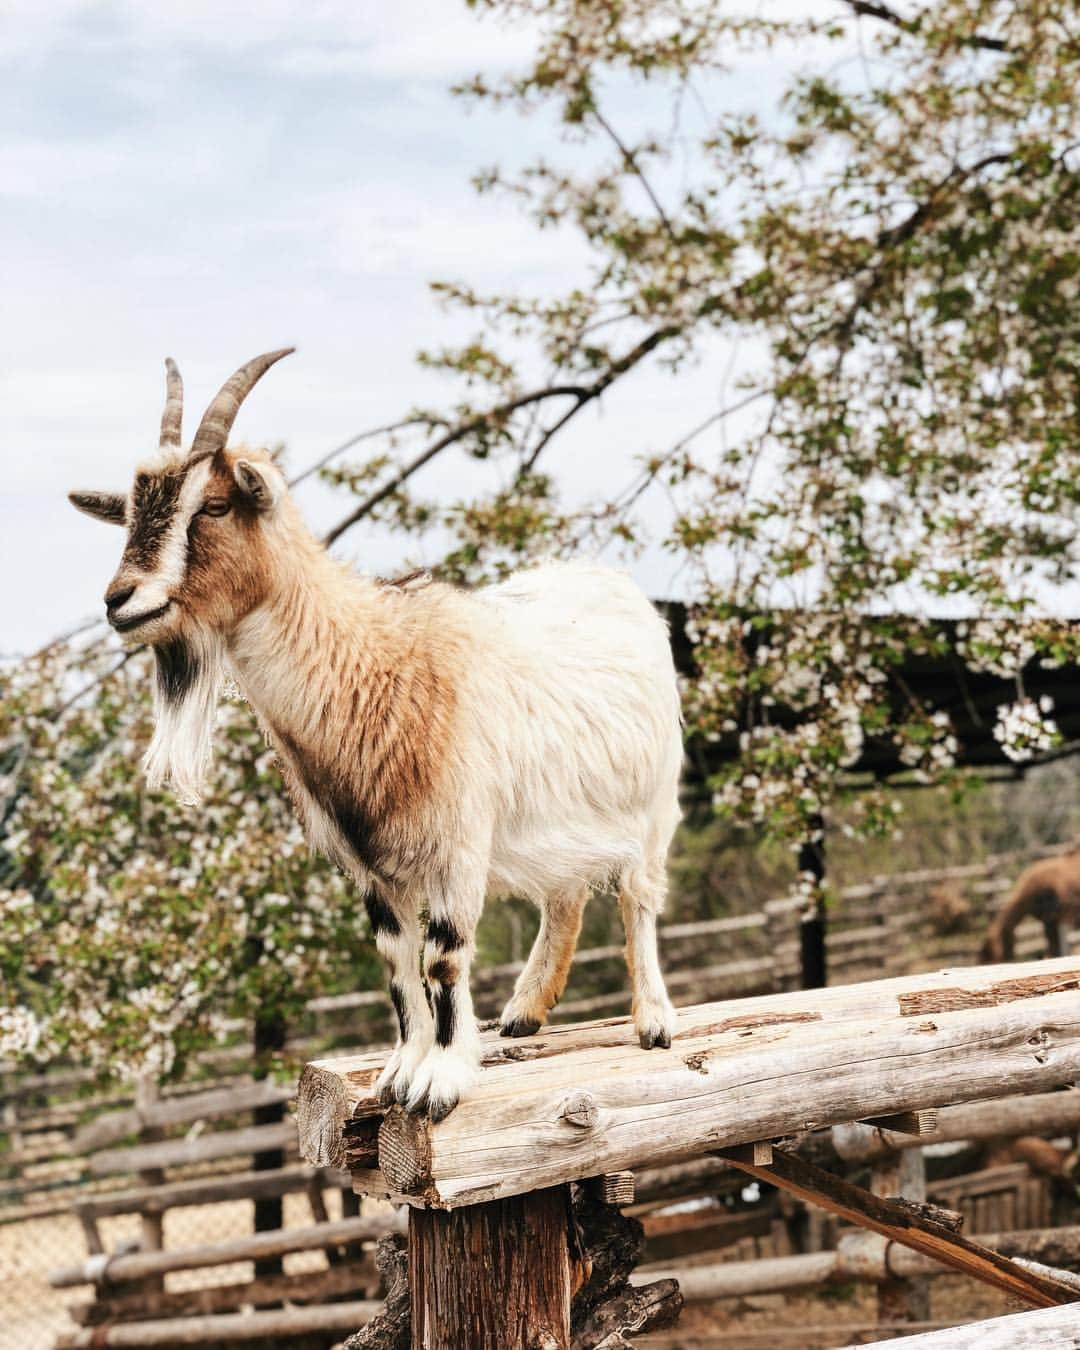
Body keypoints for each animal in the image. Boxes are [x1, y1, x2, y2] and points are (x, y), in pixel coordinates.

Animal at [71, 348, 683, 1117]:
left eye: (211, 506)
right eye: (129, 514)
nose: (120, 600)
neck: (373, 659)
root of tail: (617, 585)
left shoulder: (455, 840)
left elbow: (442, 956)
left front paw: (440, 1080)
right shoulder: (367, 859)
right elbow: (396, 962)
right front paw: (400, 1071)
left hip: (654, 800)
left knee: (640, 895)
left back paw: (653, 1020)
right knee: (565, 895)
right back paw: (524, 1012)